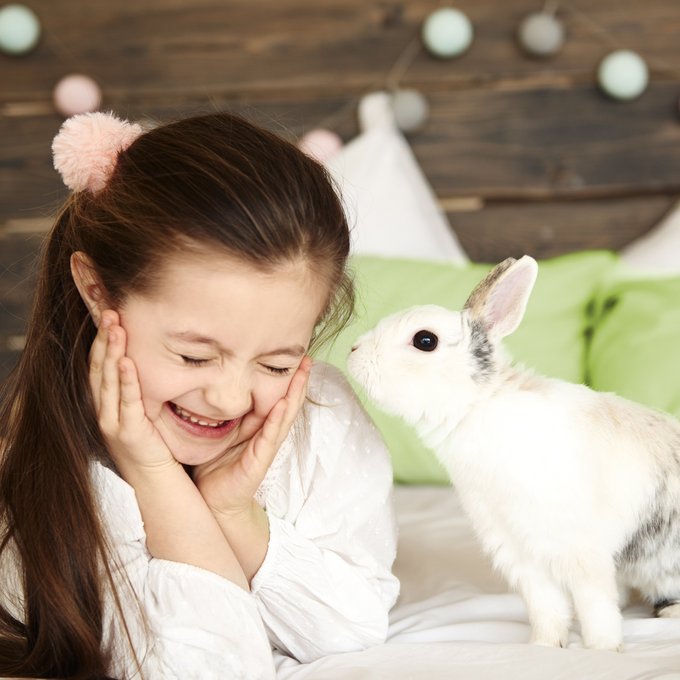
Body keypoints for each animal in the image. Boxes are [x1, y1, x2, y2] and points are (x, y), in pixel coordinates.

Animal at [348, 256, 680, 652]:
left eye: (425, 340)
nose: (353, 352)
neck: (477, 406)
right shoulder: (519, 553)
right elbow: (547, 608)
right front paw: (543, 647)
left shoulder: (580, 551)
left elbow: (595, 605)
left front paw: (601, 650)